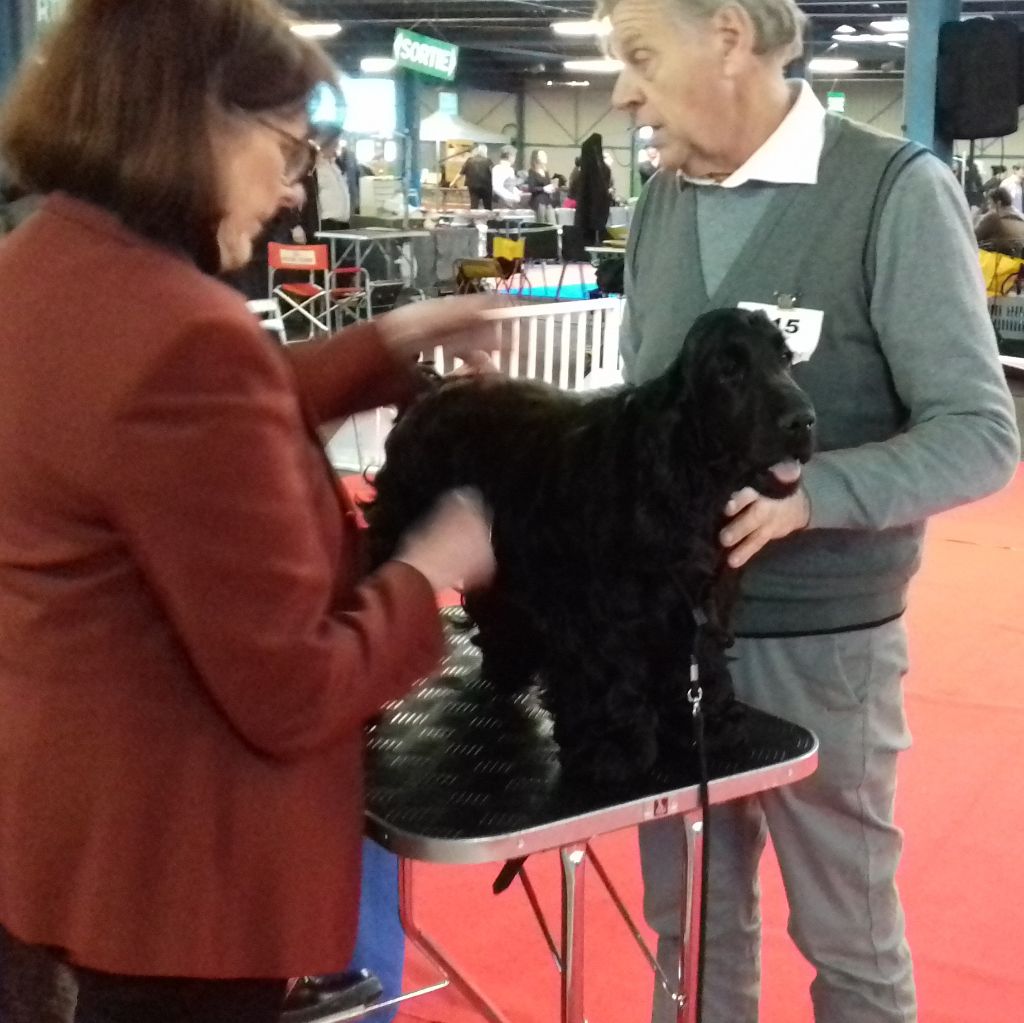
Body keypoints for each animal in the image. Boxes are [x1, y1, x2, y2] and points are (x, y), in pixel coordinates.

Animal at [365, 308, 815, 787]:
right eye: (728, 370)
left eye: (785, 359)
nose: (803, 420)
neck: (676, 467)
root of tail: (431, 389)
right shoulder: (594, 609)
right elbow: (607, 674)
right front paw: (612, 751)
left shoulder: (697, 602)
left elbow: (701, 660)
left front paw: (711, 725)